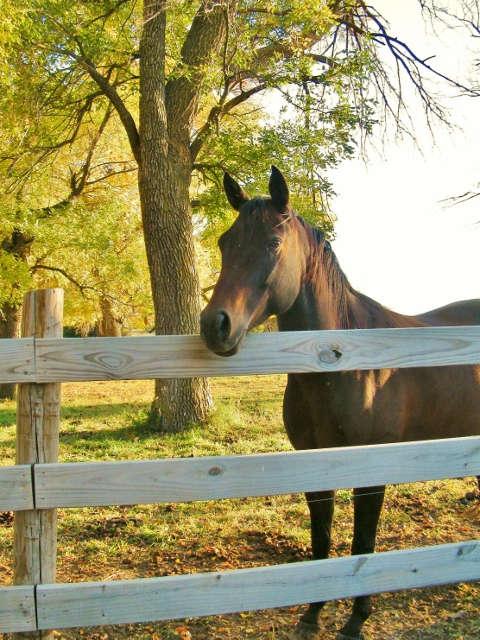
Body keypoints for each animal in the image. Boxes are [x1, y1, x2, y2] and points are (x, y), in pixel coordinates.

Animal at [200, 166, 480, 640]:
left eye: (273, 243)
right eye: (224, 242)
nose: (214, 324)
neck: (339, 361)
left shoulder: (371, 470)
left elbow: (362, 544)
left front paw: (355, 620)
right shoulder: (315, 466)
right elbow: (322, 543)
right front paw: (312, 615)